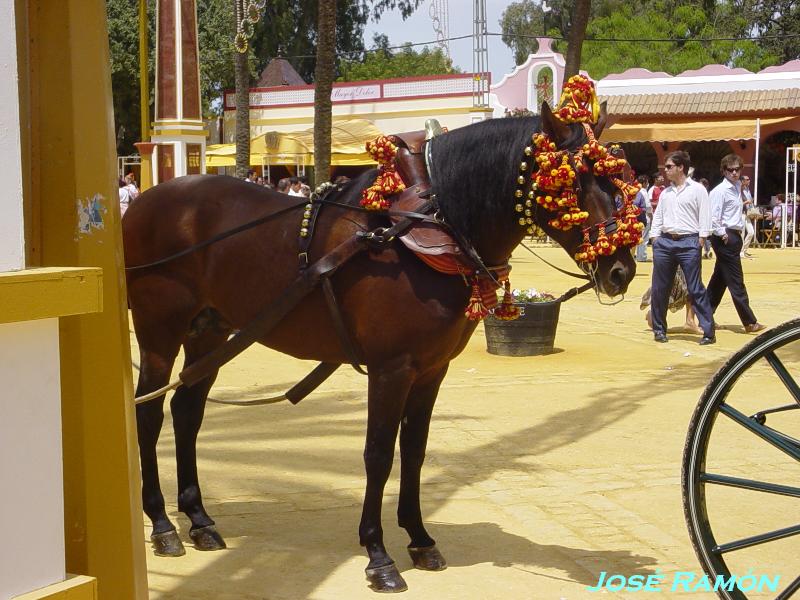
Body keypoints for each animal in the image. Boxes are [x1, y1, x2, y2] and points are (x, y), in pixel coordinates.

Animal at [125, 103, 636, 592]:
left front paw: (420, 538)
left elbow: (414, 450)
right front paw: (378, 554)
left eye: (617, 178)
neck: (430, 230)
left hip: (210, 331)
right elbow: (378, 453)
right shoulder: (392, 369)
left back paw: (198, 519)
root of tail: (143, 203)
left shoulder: (431, 370)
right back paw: (162, 523)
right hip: (159, 334)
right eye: (573, 180)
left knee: (187, 411)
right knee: (148, 414)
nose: (622, 270)